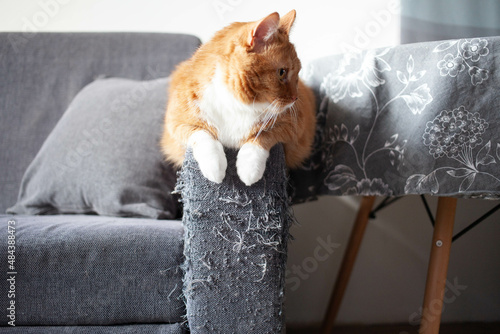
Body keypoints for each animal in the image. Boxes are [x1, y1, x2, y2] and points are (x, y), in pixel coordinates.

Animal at [162, 9, 314, 185]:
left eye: (297, 74)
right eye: (282, 72)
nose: (295, 98)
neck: (235, 103)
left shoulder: (294, 126)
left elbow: (262, 135)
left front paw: (249, 170)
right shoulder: (175, 122)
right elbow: (202, 134)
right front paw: (215, 167)